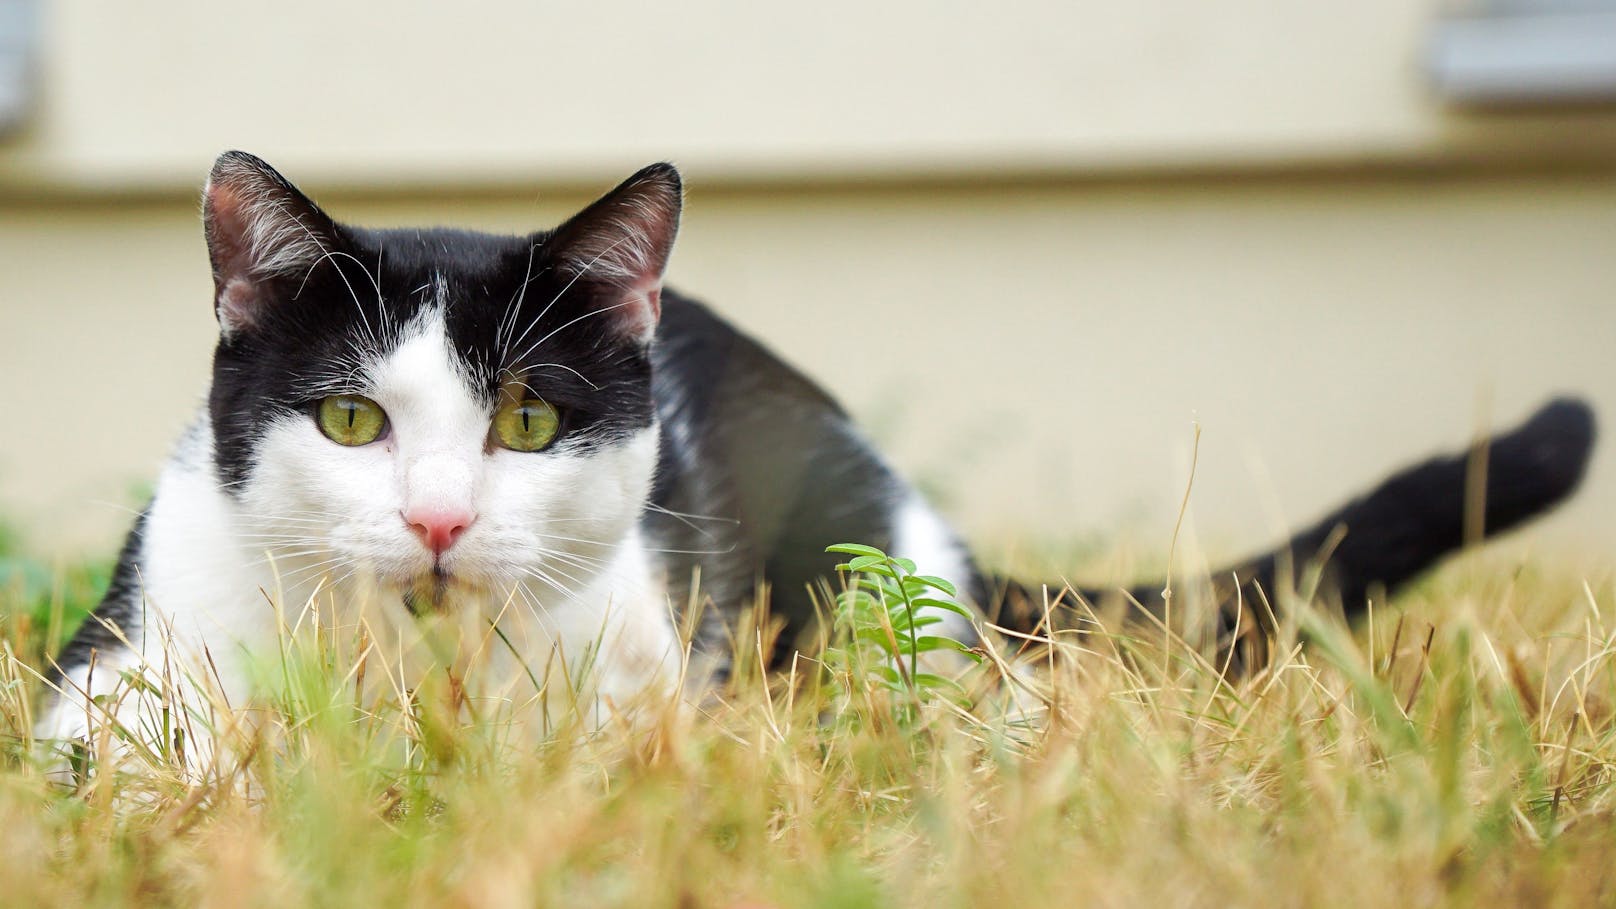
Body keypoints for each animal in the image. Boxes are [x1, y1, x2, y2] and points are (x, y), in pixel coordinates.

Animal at [31, 153, 1596, 756]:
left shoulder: (642, 679)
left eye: (528, 418)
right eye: (353, 419)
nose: (434, 523)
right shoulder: (127, 653)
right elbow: (121, 752)